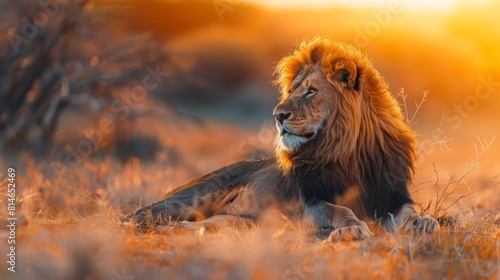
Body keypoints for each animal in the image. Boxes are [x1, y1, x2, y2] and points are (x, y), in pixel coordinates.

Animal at [124, 37, 438, 242]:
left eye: (311, 91)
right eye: (292, 90)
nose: (278, 115)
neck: (346, 150)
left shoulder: (390, 195)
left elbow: (409, 211)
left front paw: (424, 223)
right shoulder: (313, 202)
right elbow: (341, 209)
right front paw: (351, 229)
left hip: (236, 223)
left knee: (203, 225)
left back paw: (177, 231)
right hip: (189, 199)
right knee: (136, 216)